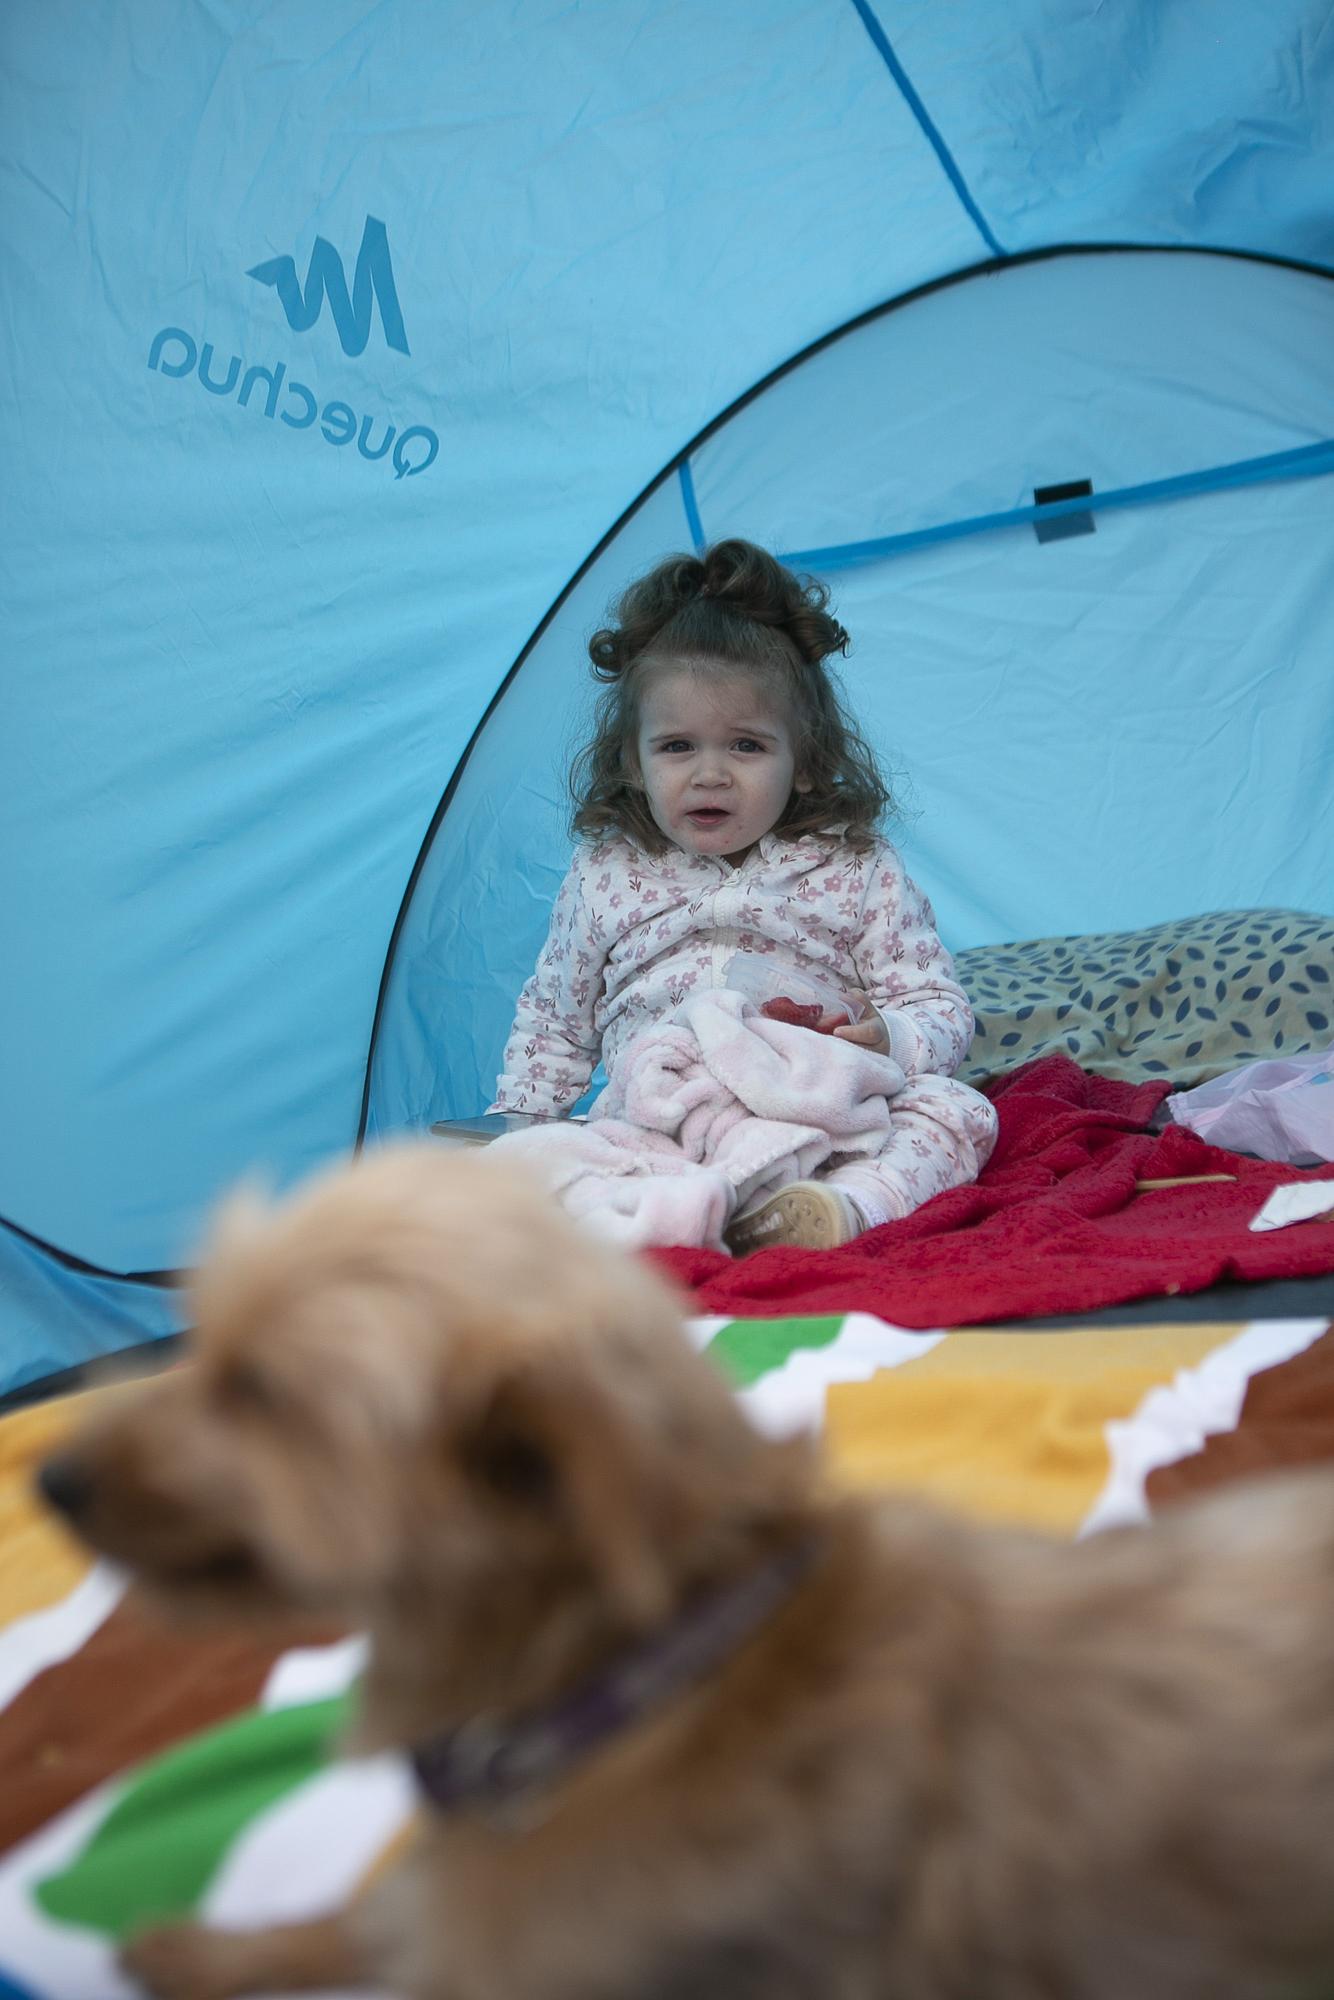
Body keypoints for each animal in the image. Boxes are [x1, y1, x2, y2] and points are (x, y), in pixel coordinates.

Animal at [36, 1144, 1334, 2000]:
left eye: (256, 1393)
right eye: (199, 1348)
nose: (47, 1477)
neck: (627, 1682)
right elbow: (366, 1915)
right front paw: (197, 1949)